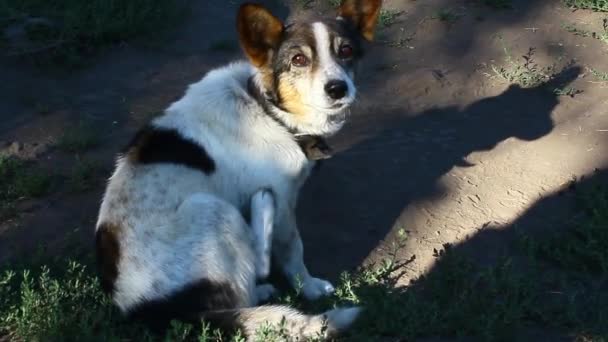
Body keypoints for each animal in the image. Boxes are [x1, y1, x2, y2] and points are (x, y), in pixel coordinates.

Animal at [95, 0, 380, 340]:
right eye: (298, 59)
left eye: (346, 50)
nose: (338, 88)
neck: (267, 110)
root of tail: (146, 311)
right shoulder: (285, 206)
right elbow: (293, 252)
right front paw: (309, 287)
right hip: (211, 207)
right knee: (254, 269)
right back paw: (261, 207)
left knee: (246, 290)